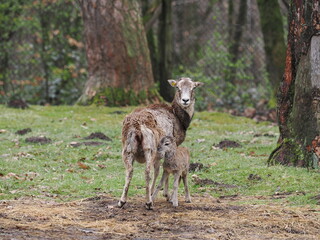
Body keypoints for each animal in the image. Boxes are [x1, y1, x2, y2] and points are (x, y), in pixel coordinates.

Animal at [117, 77, 202, 210]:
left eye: (193, 87)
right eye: (177, 87)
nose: (185, 100)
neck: (179, 118)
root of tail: (136, 127)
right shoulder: (172, 145)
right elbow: (162, 169)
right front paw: (166, 195)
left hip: (127, 148)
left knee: (129, 171)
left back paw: (122, 201)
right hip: (149, 148)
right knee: (148, 172)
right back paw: (148, 203)